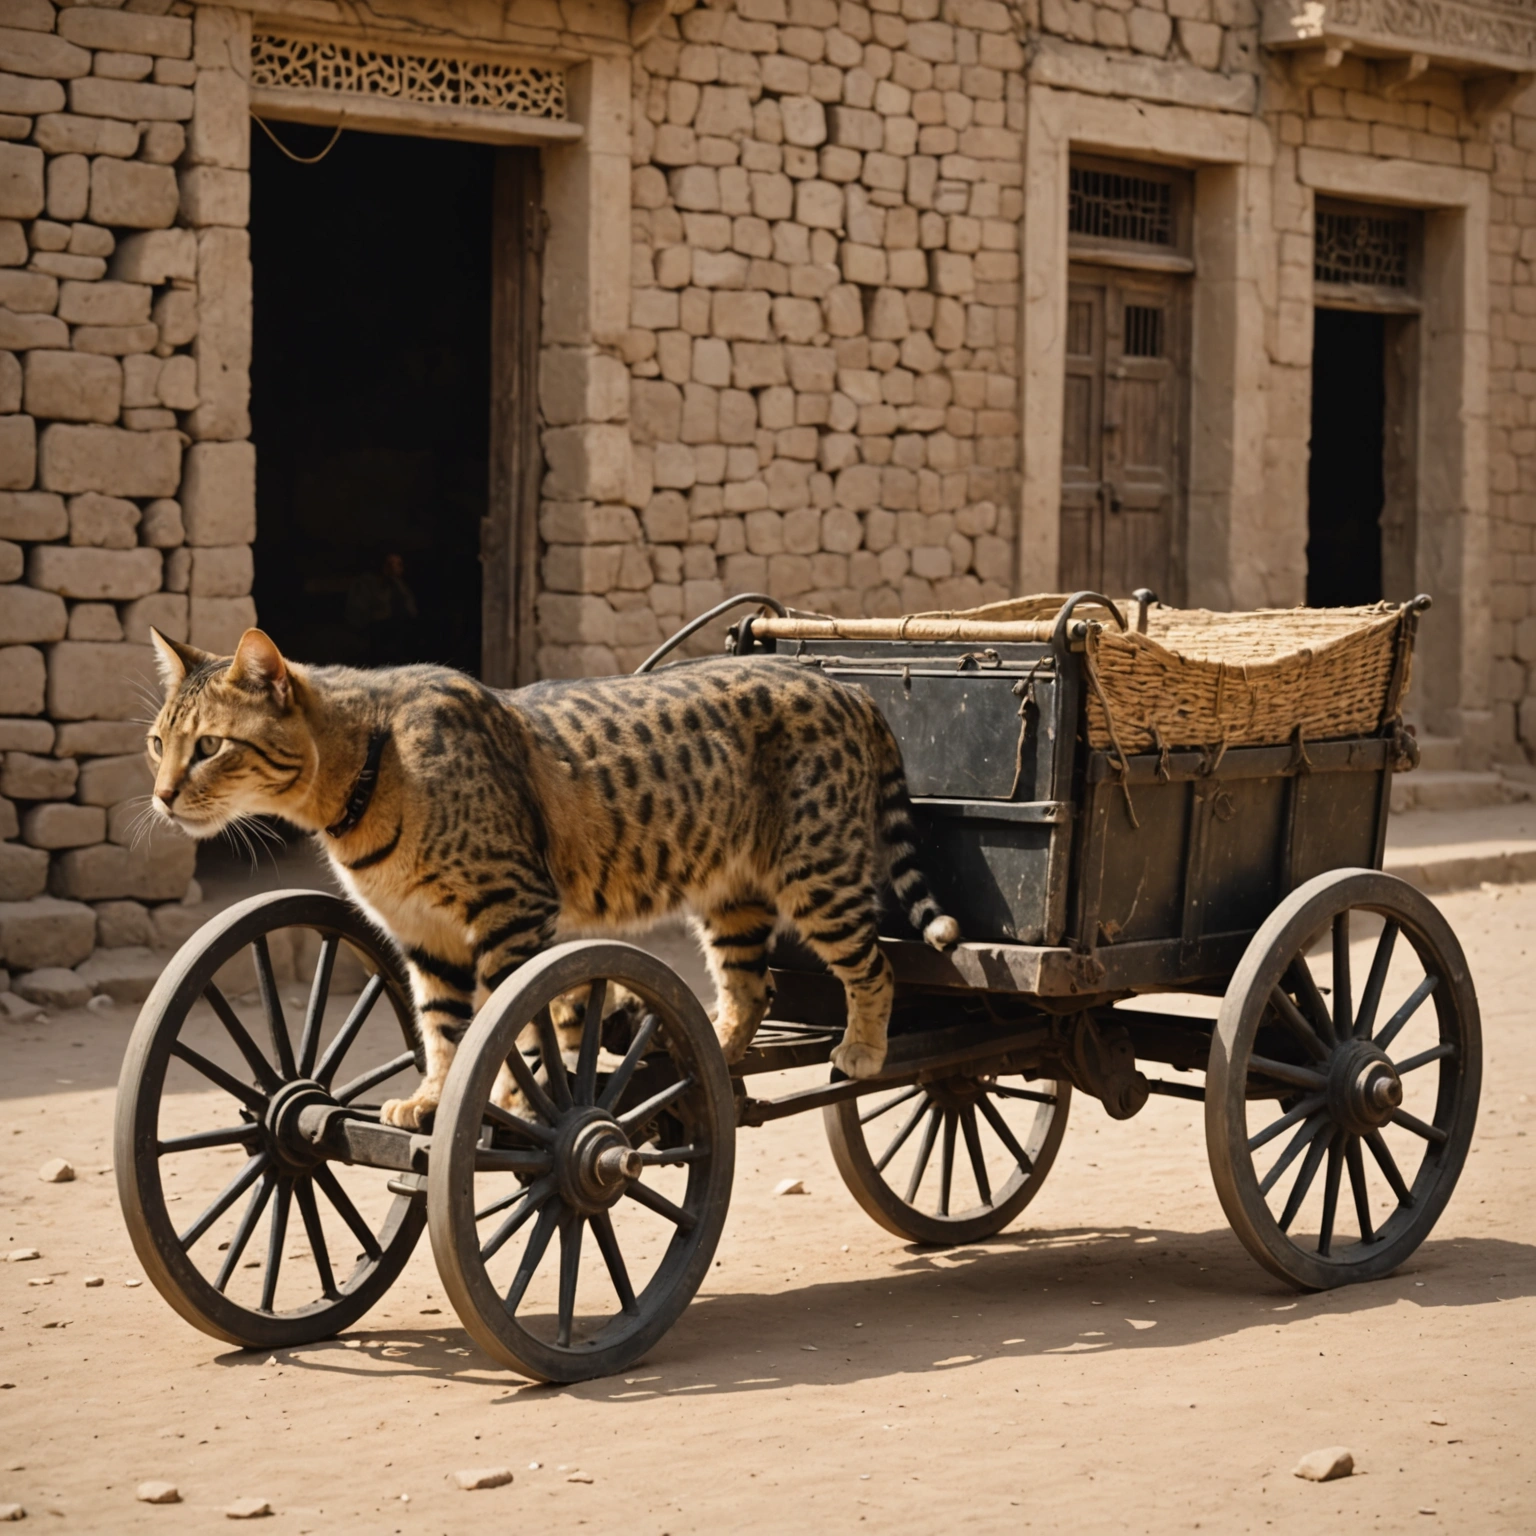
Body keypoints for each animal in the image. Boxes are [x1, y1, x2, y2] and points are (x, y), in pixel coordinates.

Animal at [144, 626, 958, 1130]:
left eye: (210, 746)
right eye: (157, 742)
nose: (161, 795)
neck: (369, 767)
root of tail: (847, 687)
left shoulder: (512, 908)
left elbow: (513, 1026)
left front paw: (507, 1099)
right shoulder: (427, 937)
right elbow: (443, 1028)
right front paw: (436, 1097)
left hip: (819, 873)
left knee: (876, 966)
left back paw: (861, 1048)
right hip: (733, 896)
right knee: (751, 987)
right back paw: (709, 1052)